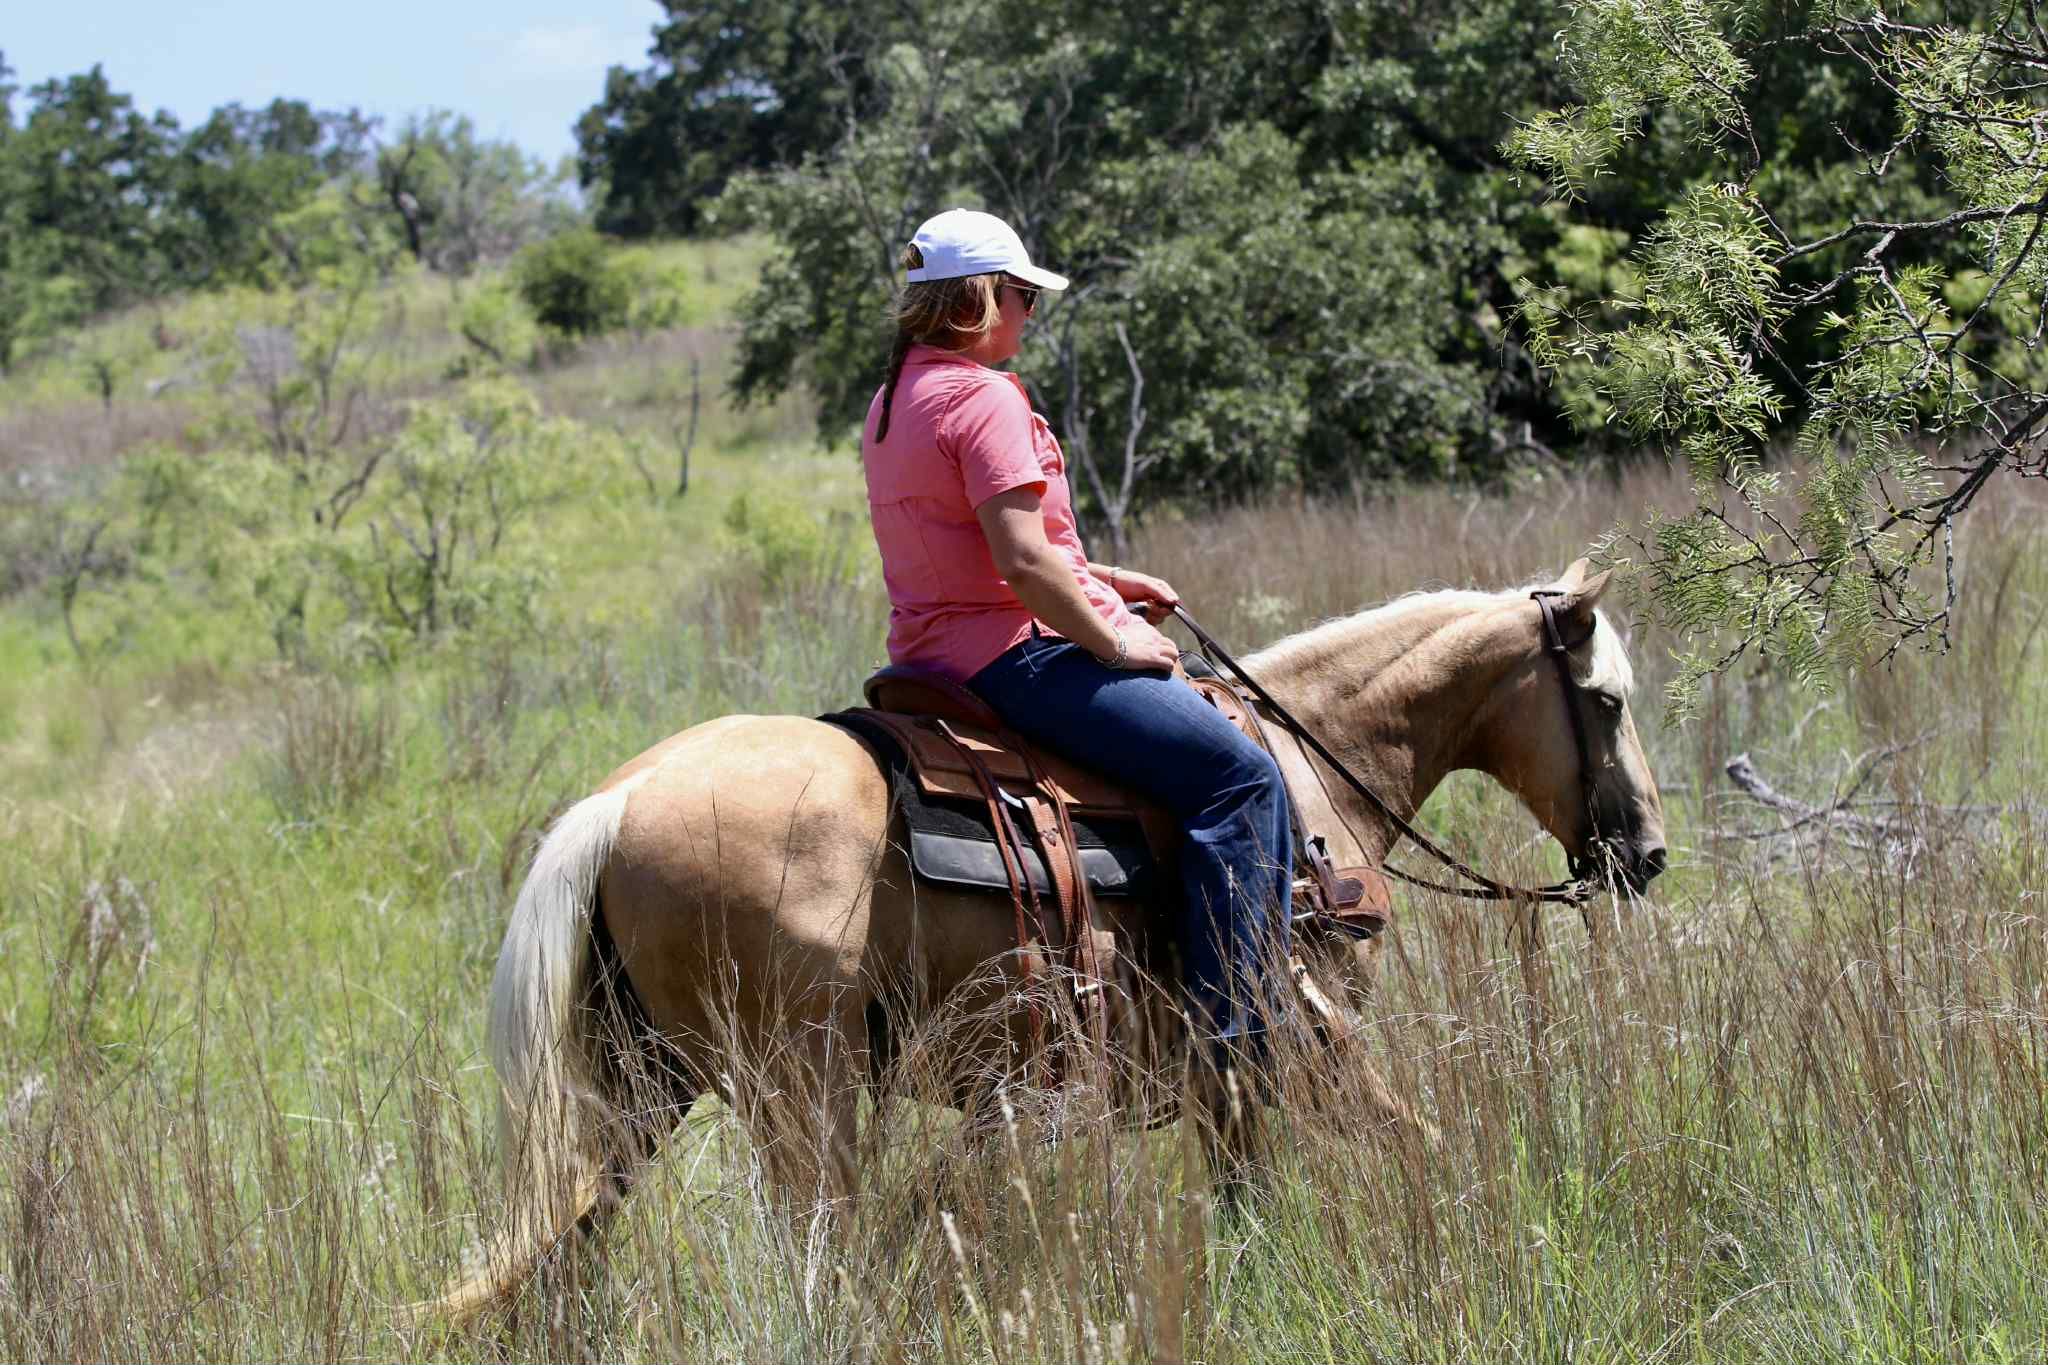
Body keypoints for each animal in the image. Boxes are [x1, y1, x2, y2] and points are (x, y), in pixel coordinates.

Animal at [413, 559, 1666, 1321]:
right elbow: (1417, 1150)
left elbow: (1242, 1201)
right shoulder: (1308, 1041)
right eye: (1603, 700)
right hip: (799, 1093)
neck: (1311, 778)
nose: (1646, 853)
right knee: (816, 1258)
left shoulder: (1220, 1079)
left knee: (553, 1252)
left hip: (637, 1093)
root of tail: (619, 801)